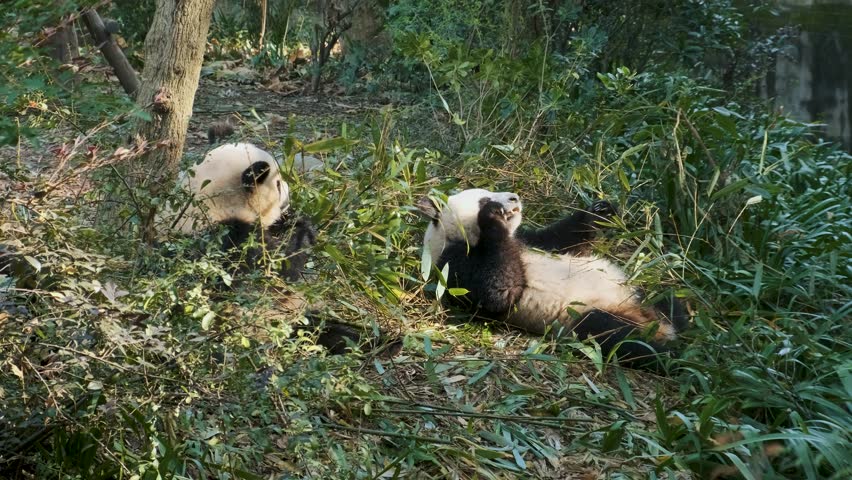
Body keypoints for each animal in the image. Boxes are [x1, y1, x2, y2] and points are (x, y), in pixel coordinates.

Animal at [417, 188, 689, 368]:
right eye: (484, 198)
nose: (514, 198)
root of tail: (655, 324)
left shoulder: (530, 242)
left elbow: (562, 240)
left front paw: (599, 210)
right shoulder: (452, 265)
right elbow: (497, 293)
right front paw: (492, 216)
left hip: (634, 291)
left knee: (669, 301)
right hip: (583, 316)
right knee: (615, 336)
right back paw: (667, 354)